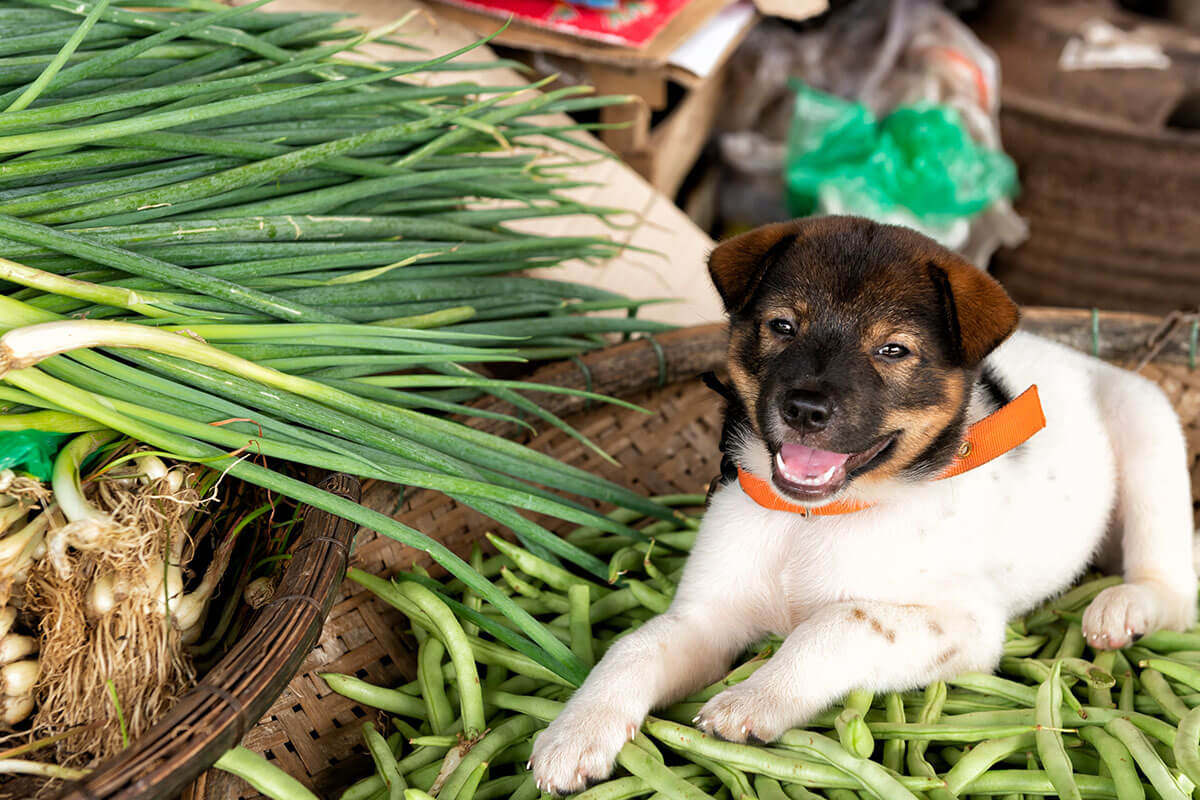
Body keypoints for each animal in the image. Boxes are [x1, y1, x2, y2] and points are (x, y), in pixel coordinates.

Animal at [535, 214, 1200, 796]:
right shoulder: (707, 616)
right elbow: (632, 648)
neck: (814, 521)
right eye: (783, 326)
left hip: (1147, 432)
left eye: (893, 351)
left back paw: (1124, 608)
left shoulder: (965, 627)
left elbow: (839, 622)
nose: (805, 409)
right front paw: (576, 731)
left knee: (1174, 587)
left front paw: (754, 698)